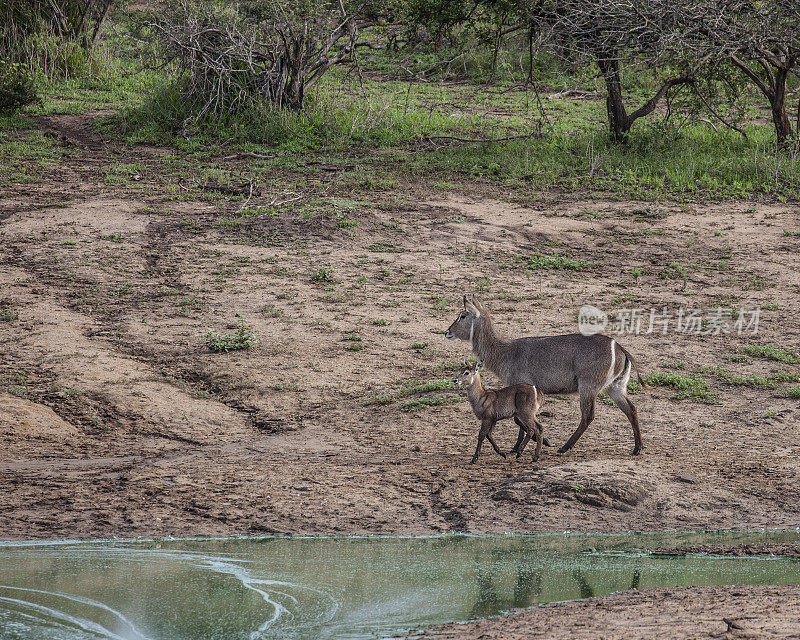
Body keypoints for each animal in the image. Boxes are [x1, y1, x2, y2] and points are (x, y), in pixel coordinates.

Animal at [446, 296, 648, 456]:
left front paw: (535, 443)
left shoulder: (521, 385)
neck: (505, 352)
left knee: (588, 416)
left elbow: (519, 420)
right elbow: (519, 420)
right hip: (615, 387)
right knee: (631, 409)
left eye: (462, 315)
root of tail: (620, 348)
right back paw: (637, 447)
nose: (447, 332)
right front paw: (519, 446)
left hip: (588, 386)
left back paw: (565, 447)